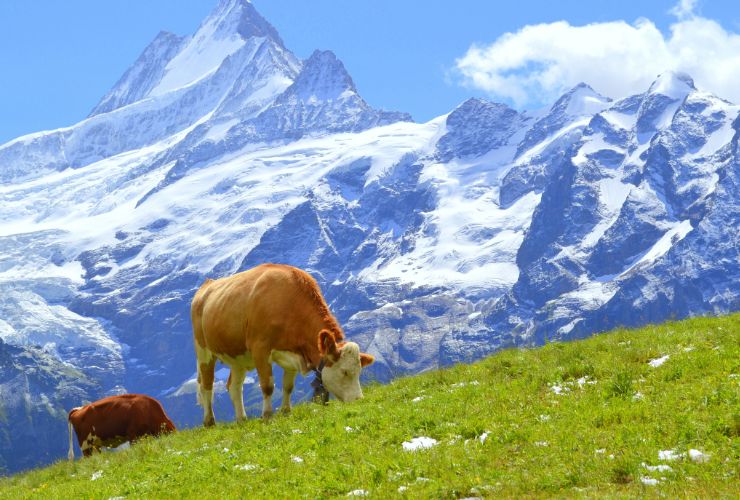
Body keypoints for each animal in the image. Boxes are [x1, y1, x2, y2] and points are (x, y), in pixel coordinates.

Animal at [191, 263, 375, 425]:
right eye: (344, 372)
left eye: (359, 371)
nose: (358, 399)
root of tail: (207, 284)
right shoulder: (260, 348)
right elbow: (268, 386)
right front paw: (267, 416)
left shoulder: (293, 353)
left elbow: (288, 386)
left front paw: (286, 412)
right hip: (203, 351)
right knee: (207, 385)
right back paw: (209, 421)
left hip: (237, 356)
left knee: (234, 386)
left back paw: (241, 419)